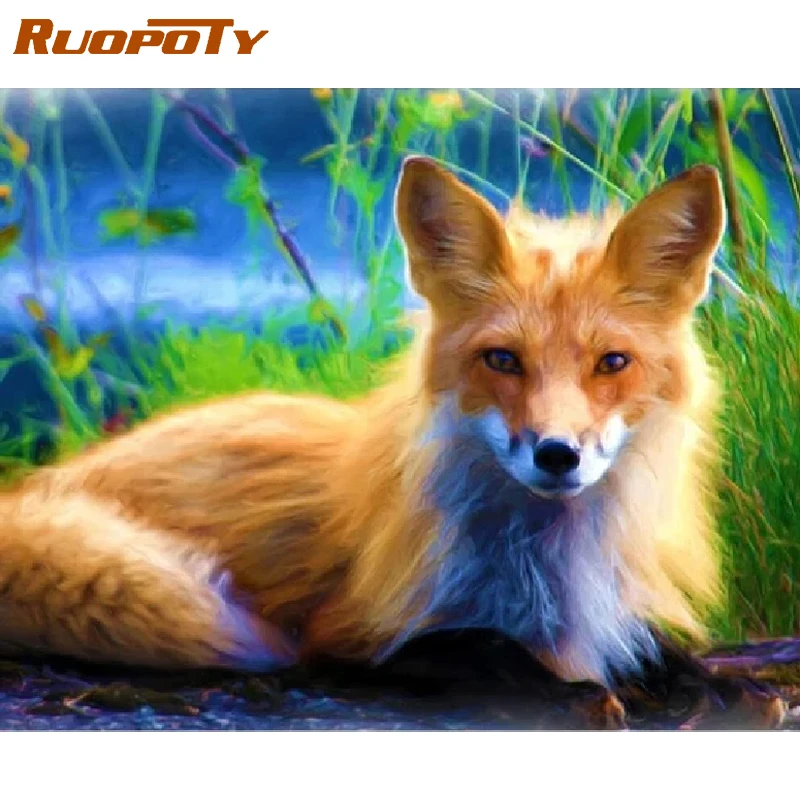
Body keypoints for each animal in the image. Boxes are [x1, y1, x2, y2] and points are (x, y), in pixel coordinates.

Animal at [0, 156, 785, 726]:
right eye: (503, 360)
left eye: (612, 363)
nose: (557, 454)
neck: (549, 565)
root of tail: (42, 485)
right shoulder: (348, 635)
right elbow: (479, 646)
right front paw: (574, 692)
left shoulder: (615, 611)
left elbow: (660, 650)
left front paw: (718, 687)